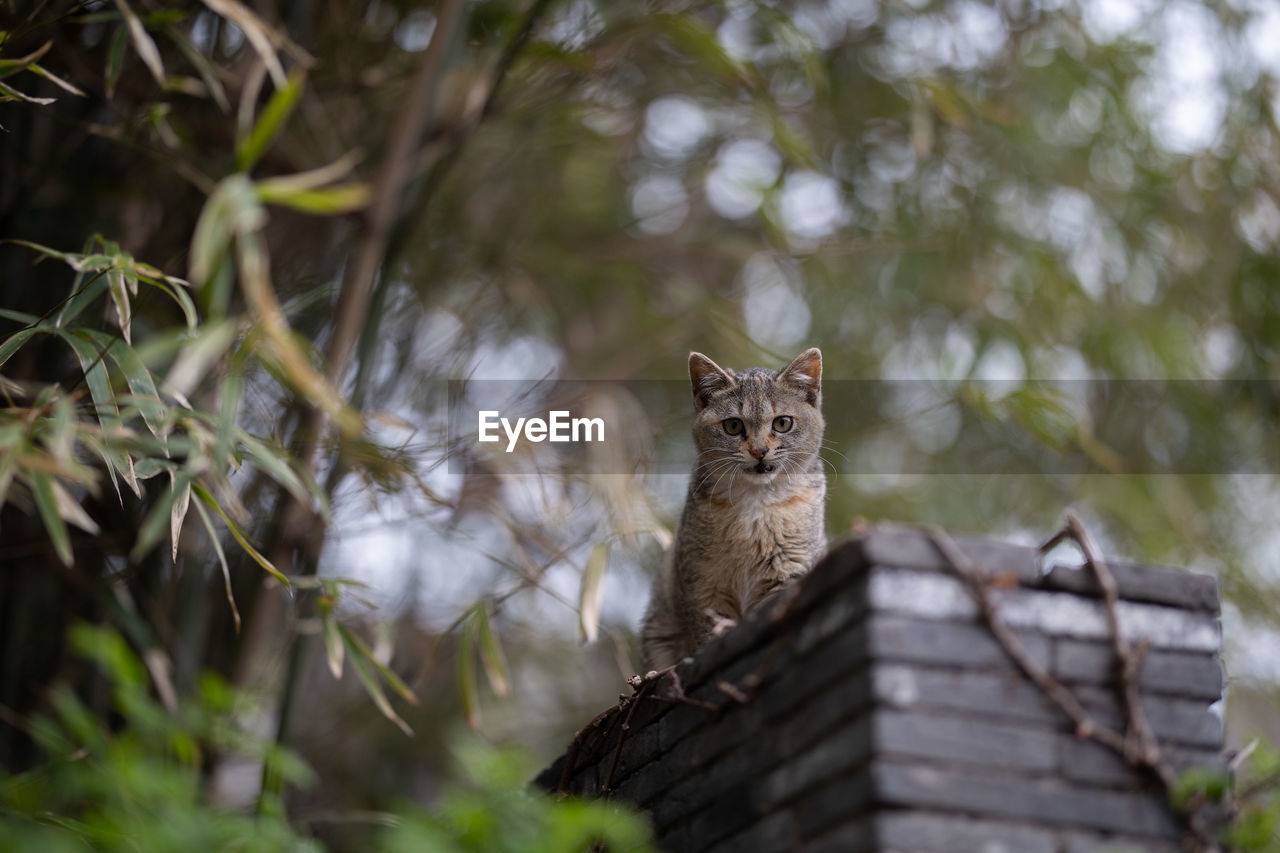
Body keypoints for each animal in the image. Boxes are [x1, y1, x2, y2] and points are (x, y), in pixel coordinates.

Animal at [640, 348, 829, 671]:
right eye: (733, 425)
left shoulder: (785, 573)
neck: (755, 500)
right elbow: (707, 634)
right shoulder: (701, 584)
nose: (759, 451)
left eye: (782, 423)